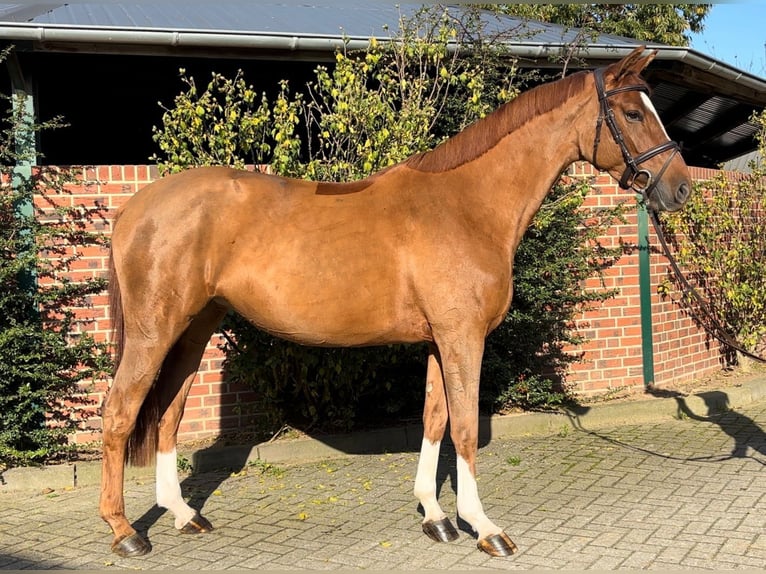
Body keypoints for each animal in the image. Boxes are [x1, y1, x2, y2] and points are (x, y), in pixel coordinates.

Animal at [99, 47, 692, 560]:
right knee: (120, 412)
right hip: (155, 332)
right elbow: (465, 428)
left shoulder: (438, 339)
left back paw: (182, 513)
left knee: (168, 410)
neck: (467, 205)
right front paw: (484, 528)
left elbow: (434, 419)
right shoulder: (462, 337)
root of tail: (134, 208)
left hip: (195, 327)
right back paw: (126, 532)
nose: (681, 189)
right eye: (633, 113)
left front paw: (436, 517)